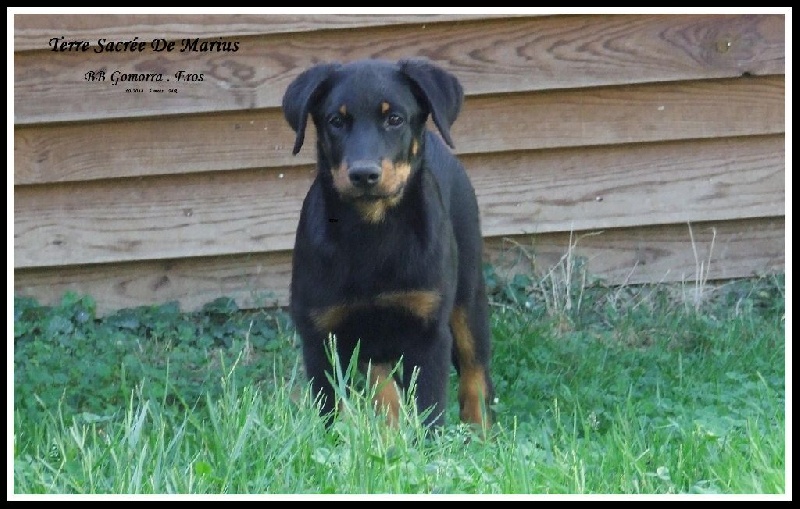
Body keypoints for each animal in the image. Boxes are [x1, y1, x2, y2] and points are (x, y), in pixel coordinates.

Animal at [282, 57, 494, 426]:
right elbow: (330, 410)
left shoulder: (428, 331)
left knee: (474, 374)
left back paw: (482, 431)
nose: (364, 174)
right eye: (336, 121)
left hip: (468, 295)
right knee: (385, 389)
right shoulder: (319, 334)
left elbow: (430, 410)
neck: (372, 230)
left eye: (394, 119)